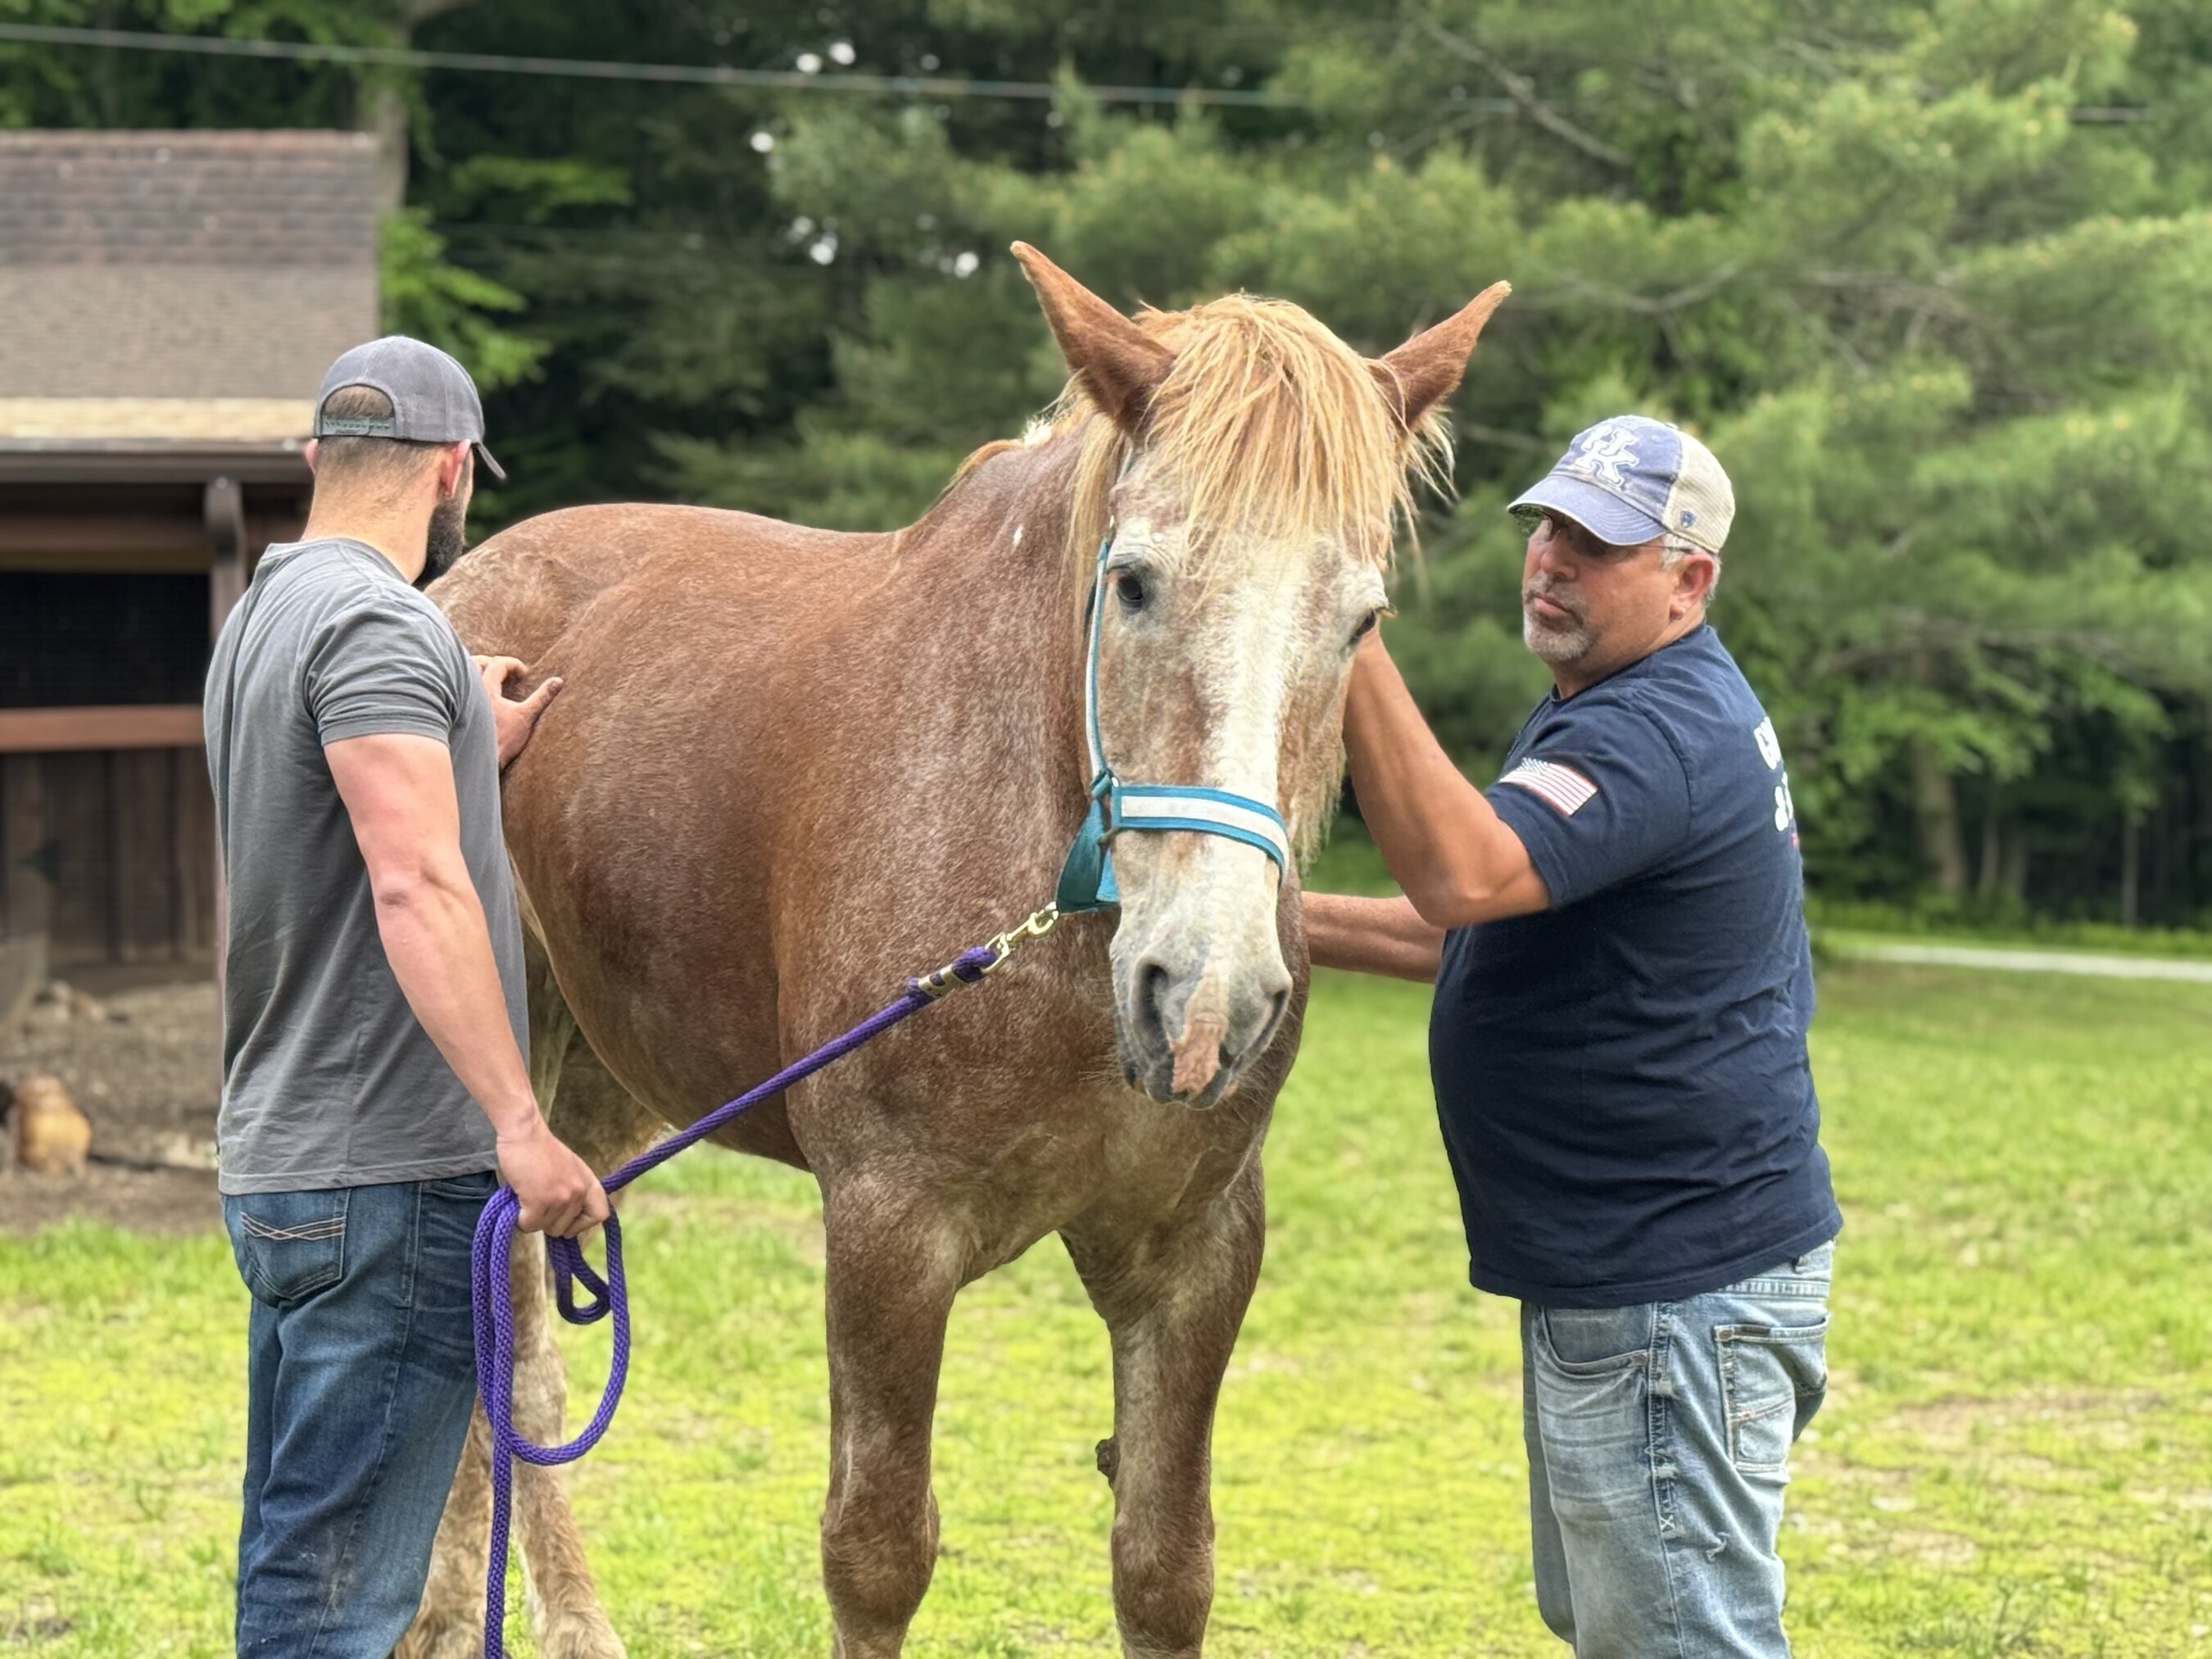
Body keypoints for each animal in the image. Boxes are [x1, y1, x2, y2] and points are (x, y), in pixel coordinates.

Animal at [399, 244, 1508, 1659]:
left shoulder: (1196, 1253)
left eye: (1363, 620)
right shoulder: (889, 1237)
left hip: (598, 1091)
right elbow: (877, 1554)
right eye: (1134, 580)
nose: (1204, 998)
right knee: (513, 1345)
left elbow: (1165, 1565)